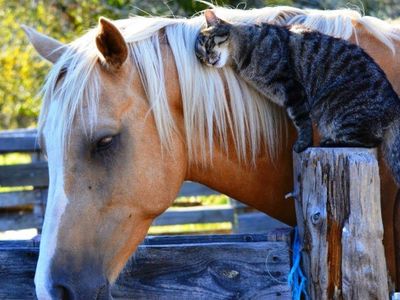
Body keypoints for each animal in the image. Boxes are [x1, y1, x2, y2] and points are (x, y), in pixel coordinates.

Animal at [195, 9, 400, 185]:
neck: (245, 51)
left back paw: (330, 141)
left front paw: (303, 143)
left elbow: (301, 121)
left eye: (209, 44)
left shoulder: (292, 88)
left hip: (337, 111)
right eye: (201, 57)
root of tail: (395, 104)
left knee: (370, 142)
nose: (209, 60)